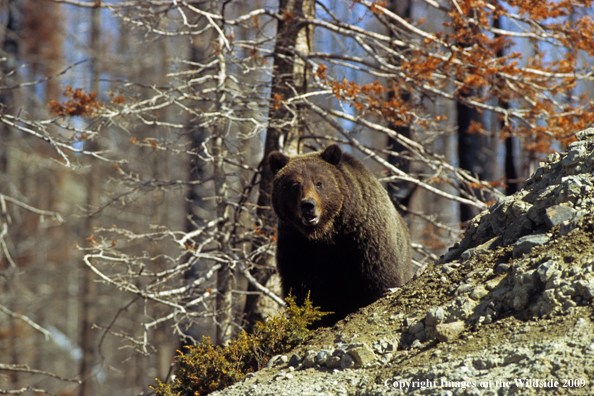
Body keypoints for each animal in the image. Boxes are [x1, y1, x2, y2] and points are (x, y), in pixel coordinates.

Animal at [270, 144, 412, 326]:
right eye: (294, 185)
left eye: (319, 183)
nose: (308, 205)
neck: (327, 233)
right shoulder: (297, 245)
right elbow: (302, 287)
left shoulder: (365, 239)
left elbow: (379, 278)